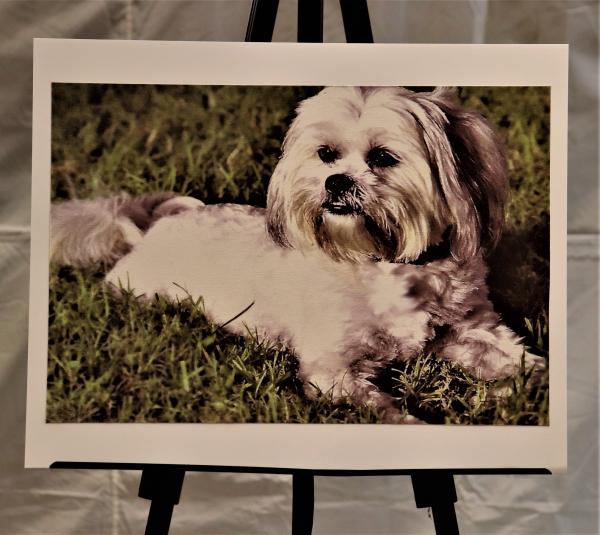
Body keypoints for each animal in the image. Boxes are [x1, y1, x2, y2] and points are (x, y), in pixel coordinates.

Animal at [50, 87, 544, 422]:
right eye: (326, 154)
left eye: (383, 157)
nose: (336, 181)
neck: (384, 261)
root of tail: (147, 233)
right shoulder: (332, 371)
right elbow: (387, 412)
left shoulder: (471, 330)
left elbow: (521, 359)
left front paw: (530, 386)